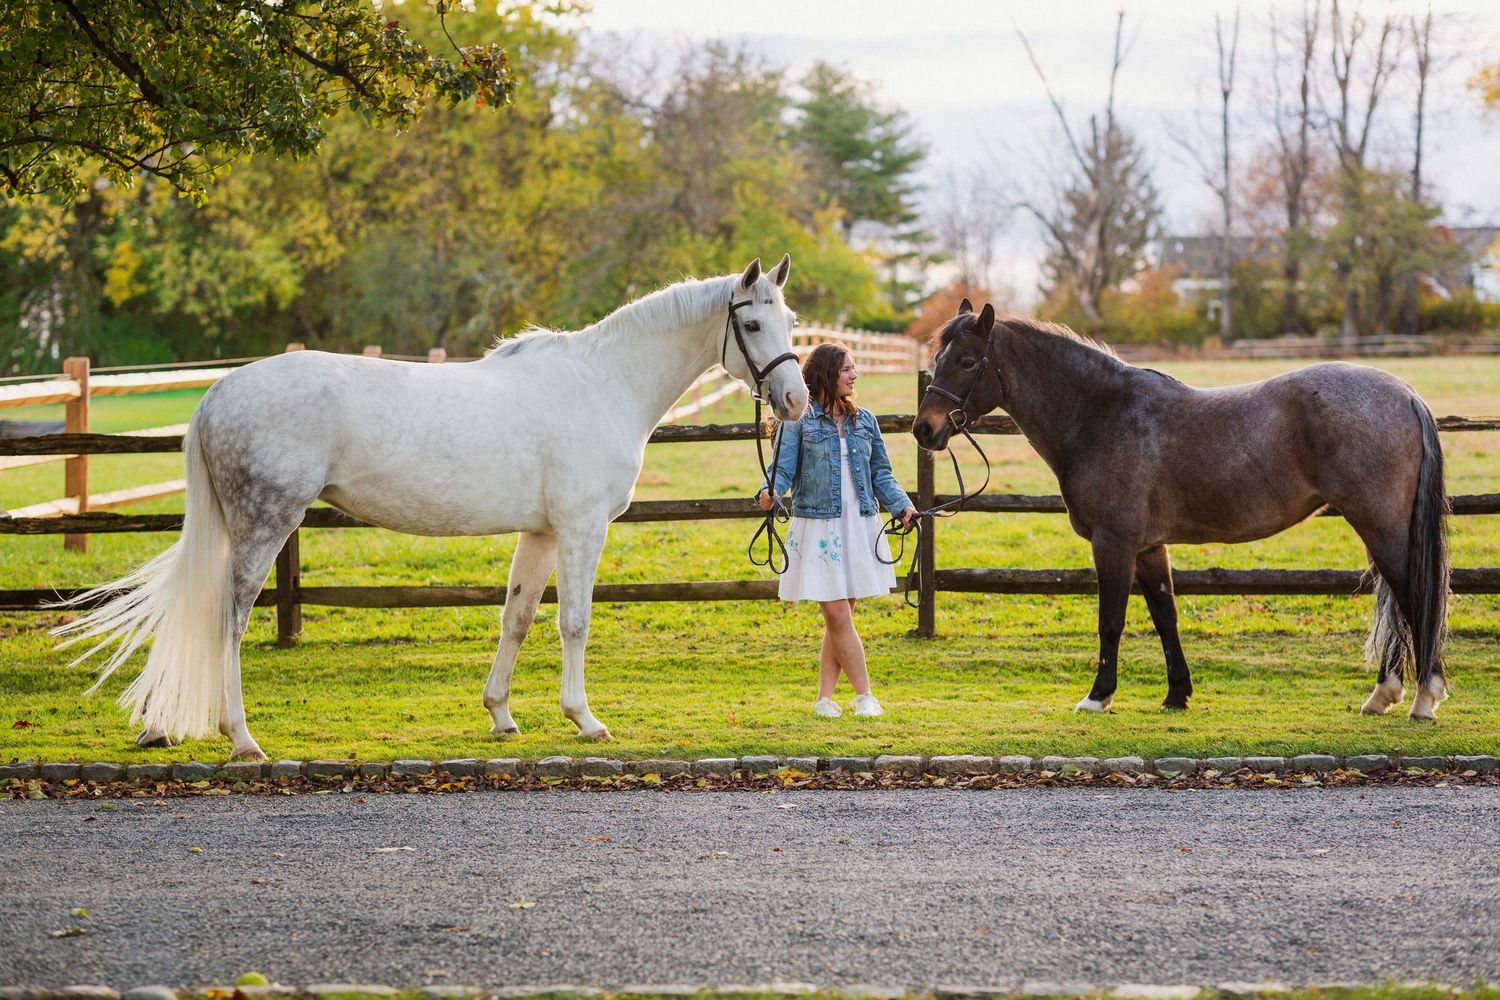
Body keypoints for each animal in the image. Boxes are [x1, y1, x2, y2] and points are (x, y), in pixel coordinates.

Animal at [57, 257, 809, 761]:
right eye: (749, 321)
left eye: (790, 320)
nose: (797, 400)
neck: (602, 384)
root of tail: (217, 394)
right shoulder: (580, 529)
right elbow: (573, 622)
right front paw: (585, 719)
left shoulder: (540, 534)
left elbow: (515, 617)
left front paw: (501, 715)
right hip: (264, 524)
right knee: (231, 617)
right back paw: (241, 738)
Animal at [912, 300, 1451, 720]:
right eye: (937, 357)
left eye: (967, 361)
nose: (925, 429)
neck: (1099, 413)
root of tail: (1405, 393)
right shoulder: (1150, 547)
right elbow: (1165, 617)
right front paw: (1177, 695)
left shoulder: (1114, 542)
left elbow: (1112, 620)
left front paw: (1098, 697)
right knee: (1401, 601)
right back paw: (1384, 695)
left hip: (1381, 526)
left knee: (1413, 596)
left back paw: (1423, 698)